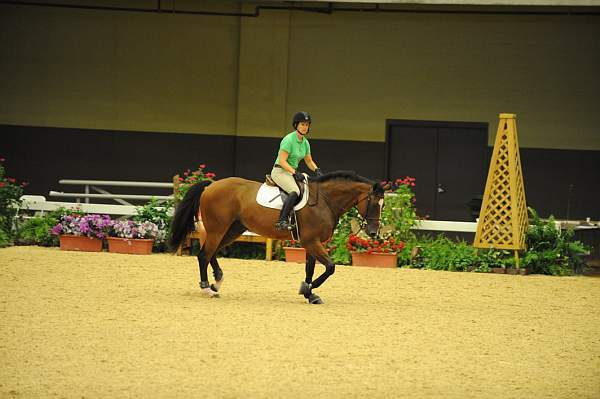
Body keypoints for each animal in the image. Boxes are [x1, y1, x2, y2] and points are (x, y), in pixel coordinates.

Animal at [169, 170, 384, 304]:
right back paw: (207, 288)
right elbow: (330, 267)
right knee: (204, 255)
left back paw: (217, 282)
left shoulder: (312, 243)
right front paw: (308, 289)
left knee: (211, 253)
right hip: (217, 228)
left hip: (232, 229)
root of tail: (210, 186)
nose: (373, 232)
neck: (324, 200)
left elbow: (310, 268)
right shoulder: (311, 242)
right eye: (374, 203)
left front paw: (309, 293)